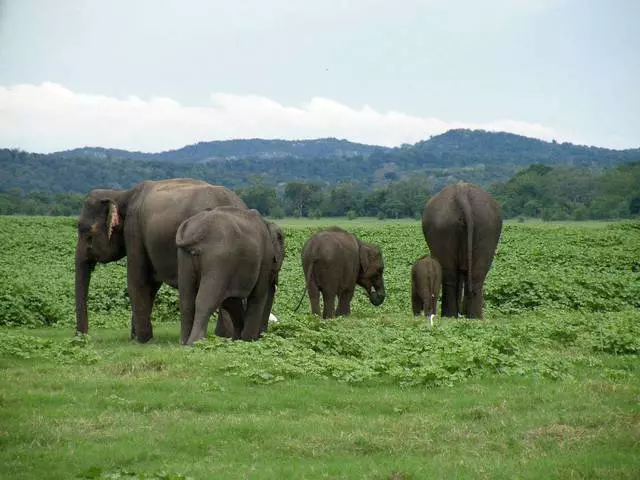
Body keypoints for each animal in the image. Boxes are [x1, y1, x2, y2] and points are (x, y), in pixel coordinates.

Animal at [74, 177, 245, 342]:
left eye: (87, 233)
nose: (82, 338)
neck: (122, 194)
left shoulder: (134, 231)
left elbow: (138, 281)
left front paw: (142, 340)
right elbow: (152, 284)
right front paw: (137, 336)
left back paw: (223, 336)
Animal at [176, 206, 284, 344]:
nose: (262, 335)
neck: (267, 223)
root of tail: (195, 232)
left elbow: (231, 301)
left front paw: (238, 340)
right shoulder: (265, 259)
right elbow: (258, 295)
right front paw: (248, 340)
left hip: (184, 258)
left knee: (186, 301)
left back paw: (184, 343)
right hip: (218, 259)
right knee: (205, 300)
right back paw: (195, 343)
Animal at [422, 182, 502, 320]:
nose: (462, 311)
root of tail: (461, 191)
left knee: (453, 276)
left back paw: (455, 316)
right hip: (481, 227)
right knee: (472, 276)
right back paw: (473, 317)